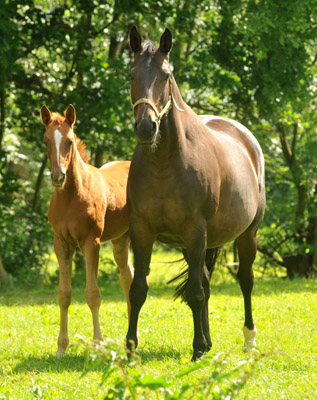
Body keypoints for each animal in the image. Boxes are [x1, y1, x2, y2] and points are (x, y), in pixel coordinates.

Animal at [126, 26, 264, 360]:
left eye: (165, 75)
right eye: (131, 74)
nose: (146, 127)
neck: (164, 163)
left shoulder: (195, 230)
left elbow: (196, 293)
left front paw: (198, 348)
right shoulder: (142, 230)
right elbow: (138, 290)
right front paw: (130, 348)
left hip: (246, 235)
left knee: (245, 281)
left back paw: (248, 341)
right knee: (205, 281)